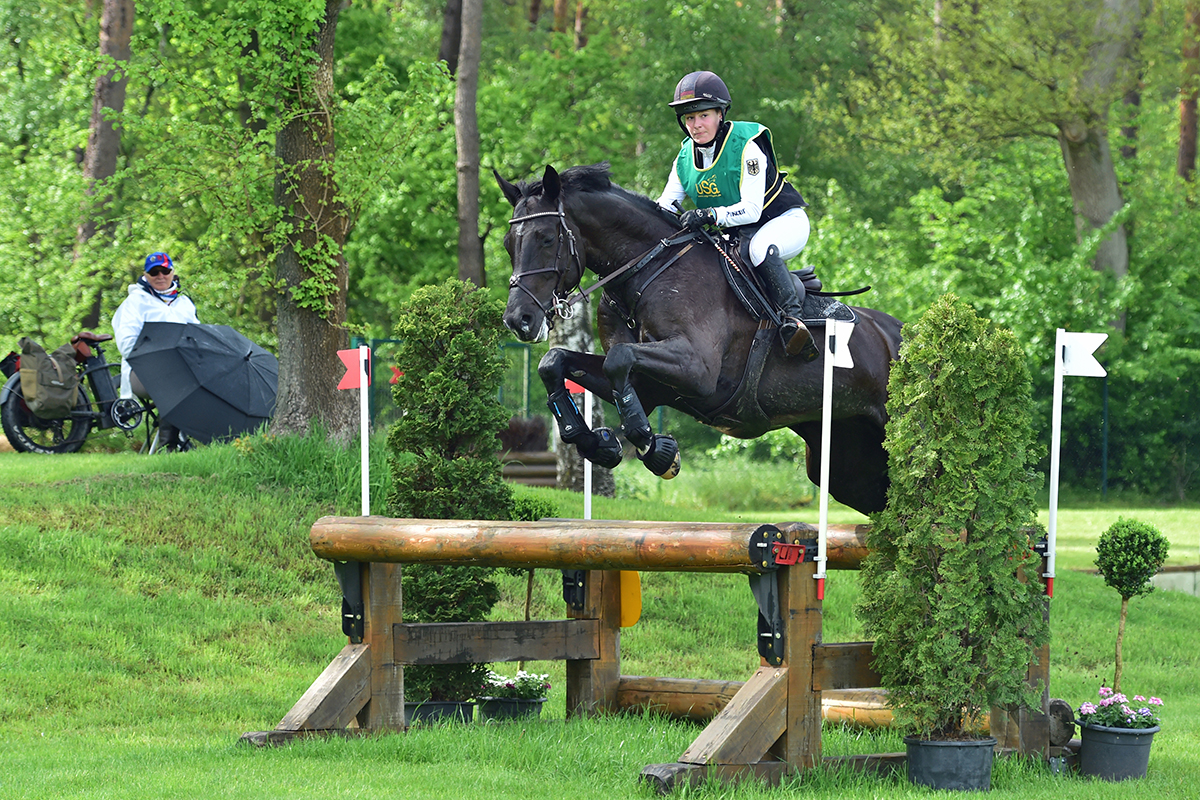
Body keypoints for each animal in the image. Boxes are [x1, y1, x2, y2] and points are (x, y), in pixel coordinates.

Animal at [494, 164, 902, 513]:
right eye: (507, 243)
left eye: (547, 238)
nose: (518, 320)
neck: (648, 272)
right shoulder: (651, 386)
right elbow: (556, 362)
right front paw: (597, 442)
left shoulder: (696, 370)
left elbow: (619, 358)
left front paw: (654, 448)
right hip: (847, 464)